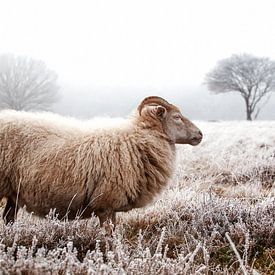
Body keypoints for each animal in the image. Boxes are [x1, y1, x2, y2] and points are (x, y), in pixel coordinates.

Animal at [0, 96, 203, 225]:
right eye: (177, 117)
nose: (200, 134)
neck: (135, 141)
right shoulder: (106, 203)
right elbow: (109, 238)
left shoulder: (110, 208)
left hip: (13, 193)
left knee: (8, 219)